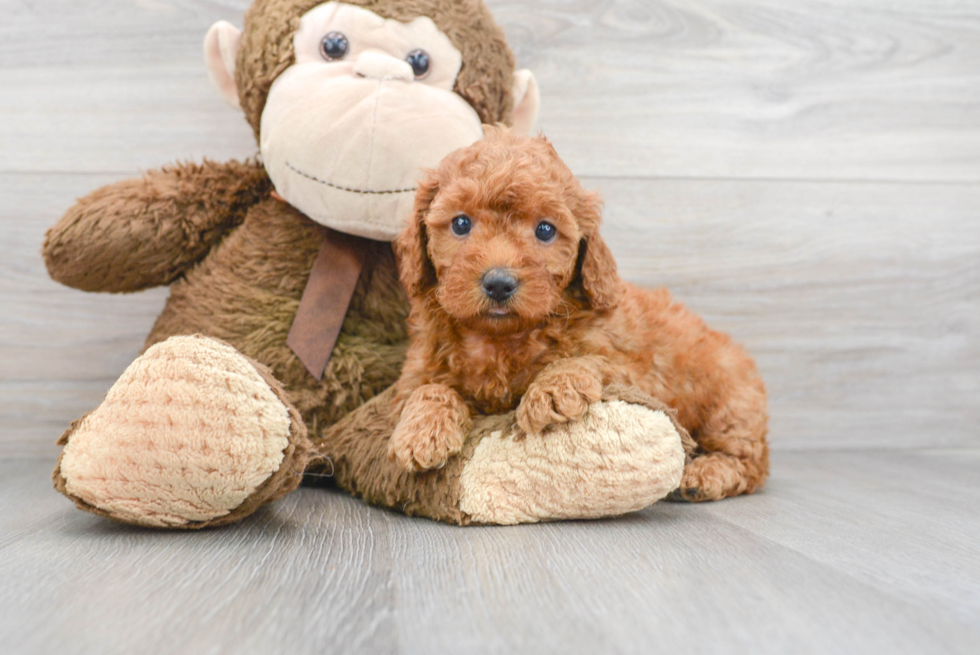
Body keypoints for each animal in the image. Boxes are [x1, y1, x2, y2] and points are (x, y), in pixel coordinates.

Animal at [386, 128, 768, 502]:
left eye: (545, 230)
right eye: (461, 224)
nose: (499, 283)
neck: (499, 339)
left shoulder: (634, 370)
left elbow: (587, 359)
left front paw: (552, 390)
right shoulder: (416, 372)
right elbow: (429, 389)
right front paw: (422, 432)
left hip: (730, 404)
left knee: (750, 462)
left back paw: (705, 475)